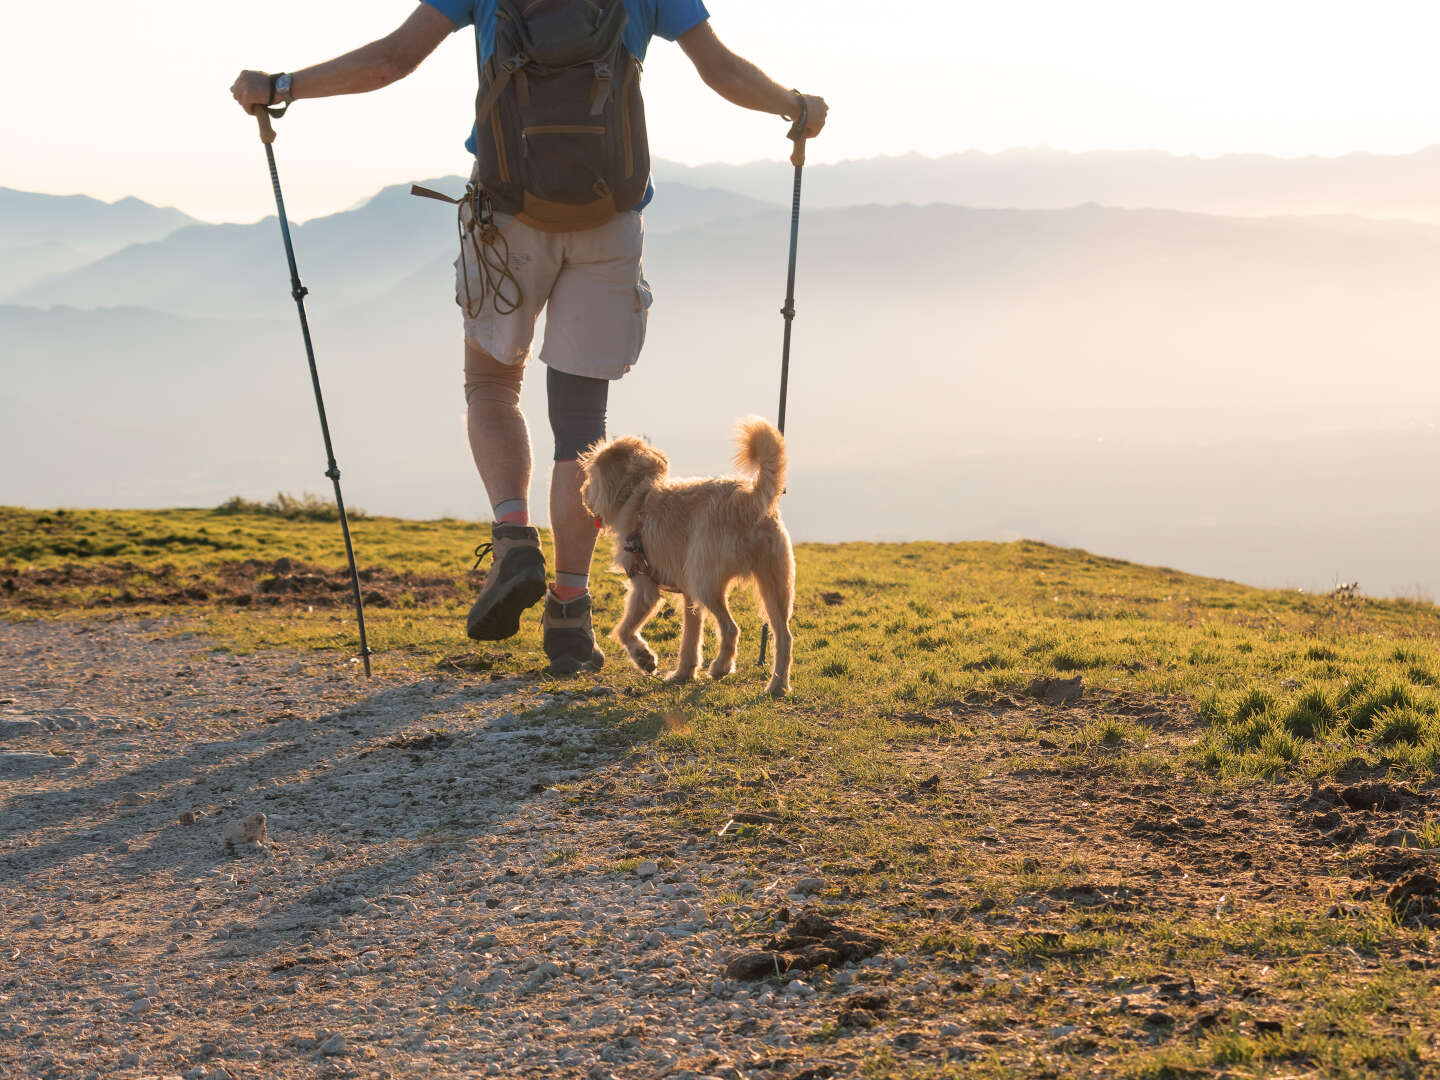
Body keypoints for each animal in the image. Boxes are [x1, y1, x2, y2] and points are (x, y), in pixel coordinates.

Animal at [576, 417, 800, 696]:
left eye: (590, 476)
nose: (582, 493)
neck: (638, 496)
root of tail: (748, 499)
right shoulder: (688, 594)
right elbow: (690, 637)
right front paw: (684, 672)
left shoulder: (644, 586)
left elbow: (624, 630)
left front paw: (644, 658)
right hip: (775, 584)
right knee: (784, 637)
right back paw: (777, 686)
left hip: (706, 582)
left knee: (731, 628)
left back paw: (721, 668)